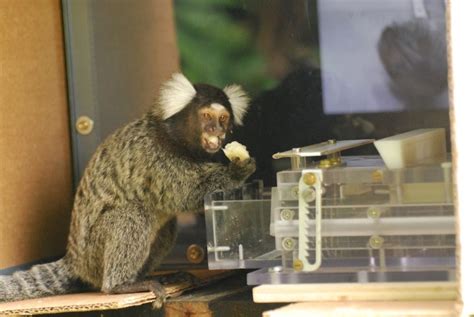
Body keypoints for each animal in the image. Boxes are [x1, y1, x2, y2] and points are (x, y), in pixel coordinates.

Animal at [0, 73, 256, 306]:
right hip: (94, 254)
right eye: (207, 116)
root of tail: (74, 261)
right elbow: (186, 192)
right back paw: (121, 285)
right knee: (132, 214)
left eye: (223, 118)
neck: (177, 141)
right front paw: (237, 171)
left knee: (165, 227)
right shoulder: (156, 156)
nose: (217, 131)